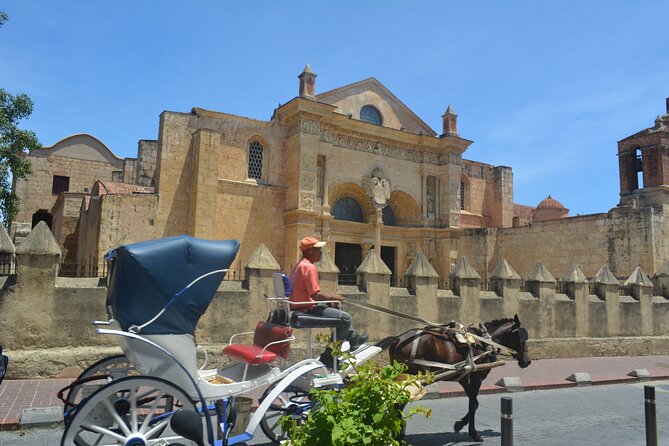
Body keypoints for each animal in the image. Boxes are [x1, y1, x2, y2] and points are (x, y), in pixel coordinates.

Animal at [378, 314, 528, 442]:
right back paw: (398, 435)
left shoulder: (465, 380)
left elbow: (475, 404)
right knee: (398, 404)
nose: (527, 361)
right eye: (522, 339)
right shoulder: (476, 380)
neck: (484, 343)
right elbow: (472, 406)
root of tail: (397, 339)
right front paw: (473, 433)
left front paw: (459, 425)